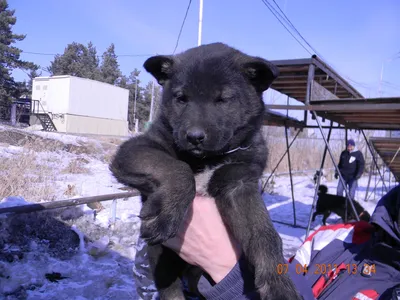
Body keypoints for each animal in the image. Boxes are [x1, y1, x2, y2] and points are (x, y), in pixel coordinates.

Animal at [109, 42, 300, 300]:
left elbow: (265, 234)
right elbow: (178, 168)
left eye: (223, 99)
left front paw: (279, 285)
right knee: (171, 289)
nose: (194, 136)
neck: (209, 158)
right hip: (160, 256)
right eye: (181, 98)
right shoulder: (137, 148)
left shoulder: (240, 183)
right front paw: (166, 214)